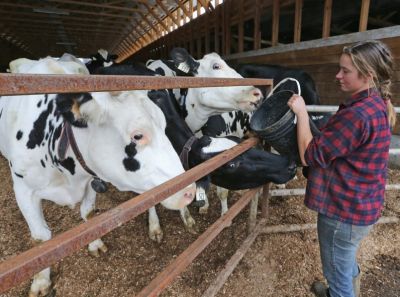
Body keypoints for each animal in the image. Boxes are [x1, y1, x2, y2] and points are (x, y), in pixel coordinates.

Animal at [1, 56, 195, 294]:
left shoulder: (90, 180)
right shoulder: (23, 190)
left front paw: (95, 244)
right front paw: (40, 282)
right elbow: (40, 240)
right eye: (138, 135)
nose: (189, 190)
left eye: (164, 123)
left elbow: (89, 214)